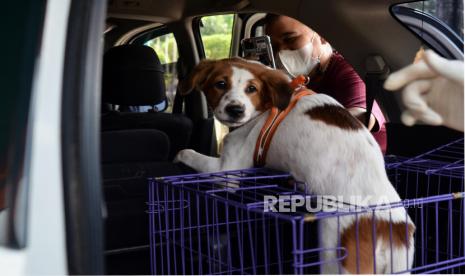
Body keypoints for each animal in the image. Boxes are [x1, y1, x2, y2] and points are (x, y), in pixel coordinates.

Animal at [175, 57, 414, 272]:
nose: (236, 110)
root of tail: (390, 227)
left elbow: (187, 152)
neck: (269, 105)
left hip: (334, 254)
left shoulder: (227, 171)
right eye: (220, 84)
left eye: (252, 88)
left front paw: (179, 155)